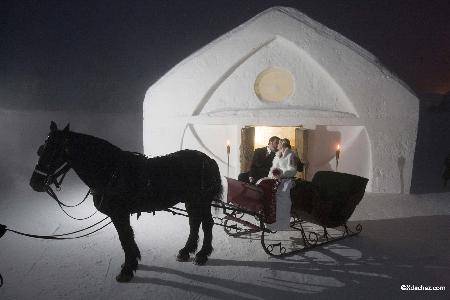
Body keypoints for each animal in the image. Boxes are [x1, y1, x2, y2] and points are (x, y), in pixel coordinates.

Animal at [29, 121, 223, 282]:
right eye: (42, 149)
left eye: (54, 152)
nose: (34, 183)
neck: (111, 172)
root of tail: (209, 160)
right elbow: (128, 239)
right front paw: (131, 263)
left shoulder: (119, 214)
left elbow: (125, 238)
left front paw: (127, 270)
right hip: (191, 201)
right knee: (194, 222)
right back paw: (186, 251)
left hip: (202, 201)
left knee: (207, 223)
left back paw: (202, 254)